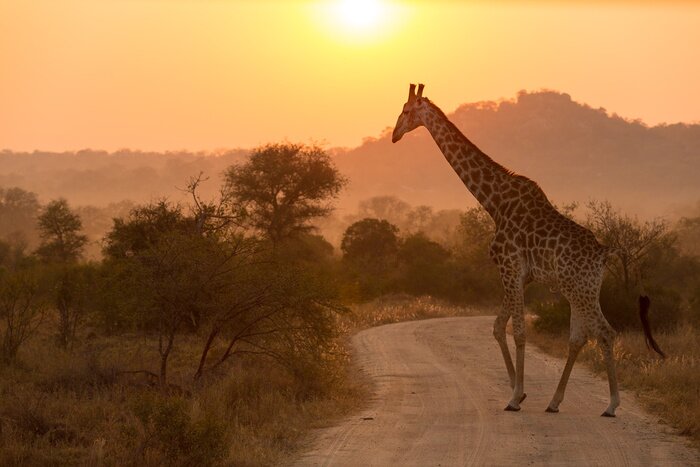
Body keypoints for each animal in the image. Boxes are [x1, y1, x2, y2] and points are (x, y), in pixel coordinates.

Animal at [391, 83, 665, 416]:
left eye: (406, 110)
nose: (394, 135)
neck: (495, 203)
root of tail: (604, 253)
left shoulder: (508, 267)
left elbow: (519, 331)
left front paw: (514, 397)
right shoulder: (521, 276)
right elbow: (499, 326)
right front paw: (518, 392)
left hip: (578, 289)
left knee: (605, 332)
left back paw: (611, 404)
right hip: (584, 289)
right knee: (579, 337)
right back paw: (554, 402)